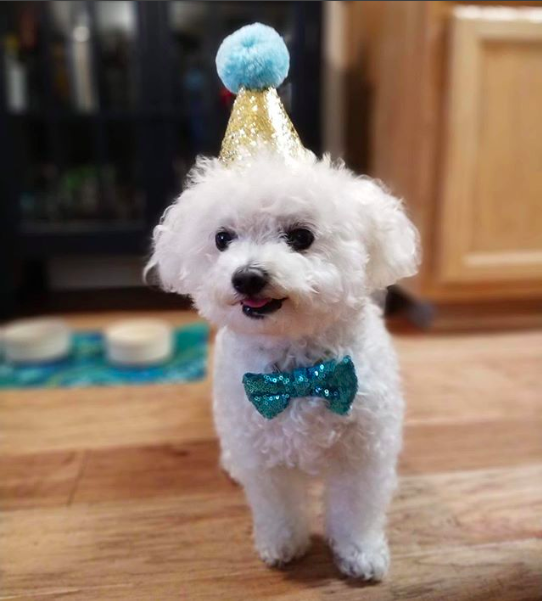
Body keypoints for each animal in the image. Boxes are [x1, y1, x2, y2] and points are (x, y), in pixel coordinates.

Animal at [149, 151, 420, 580]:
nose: (247, 277)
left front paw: (360, 553)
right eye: (222, 238)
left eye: (301, 237)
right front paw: (282, 546)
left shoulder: (362, 455)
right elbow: (277, 509)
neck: (298, 374)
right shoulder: (265, 460)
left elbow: (355, 511)